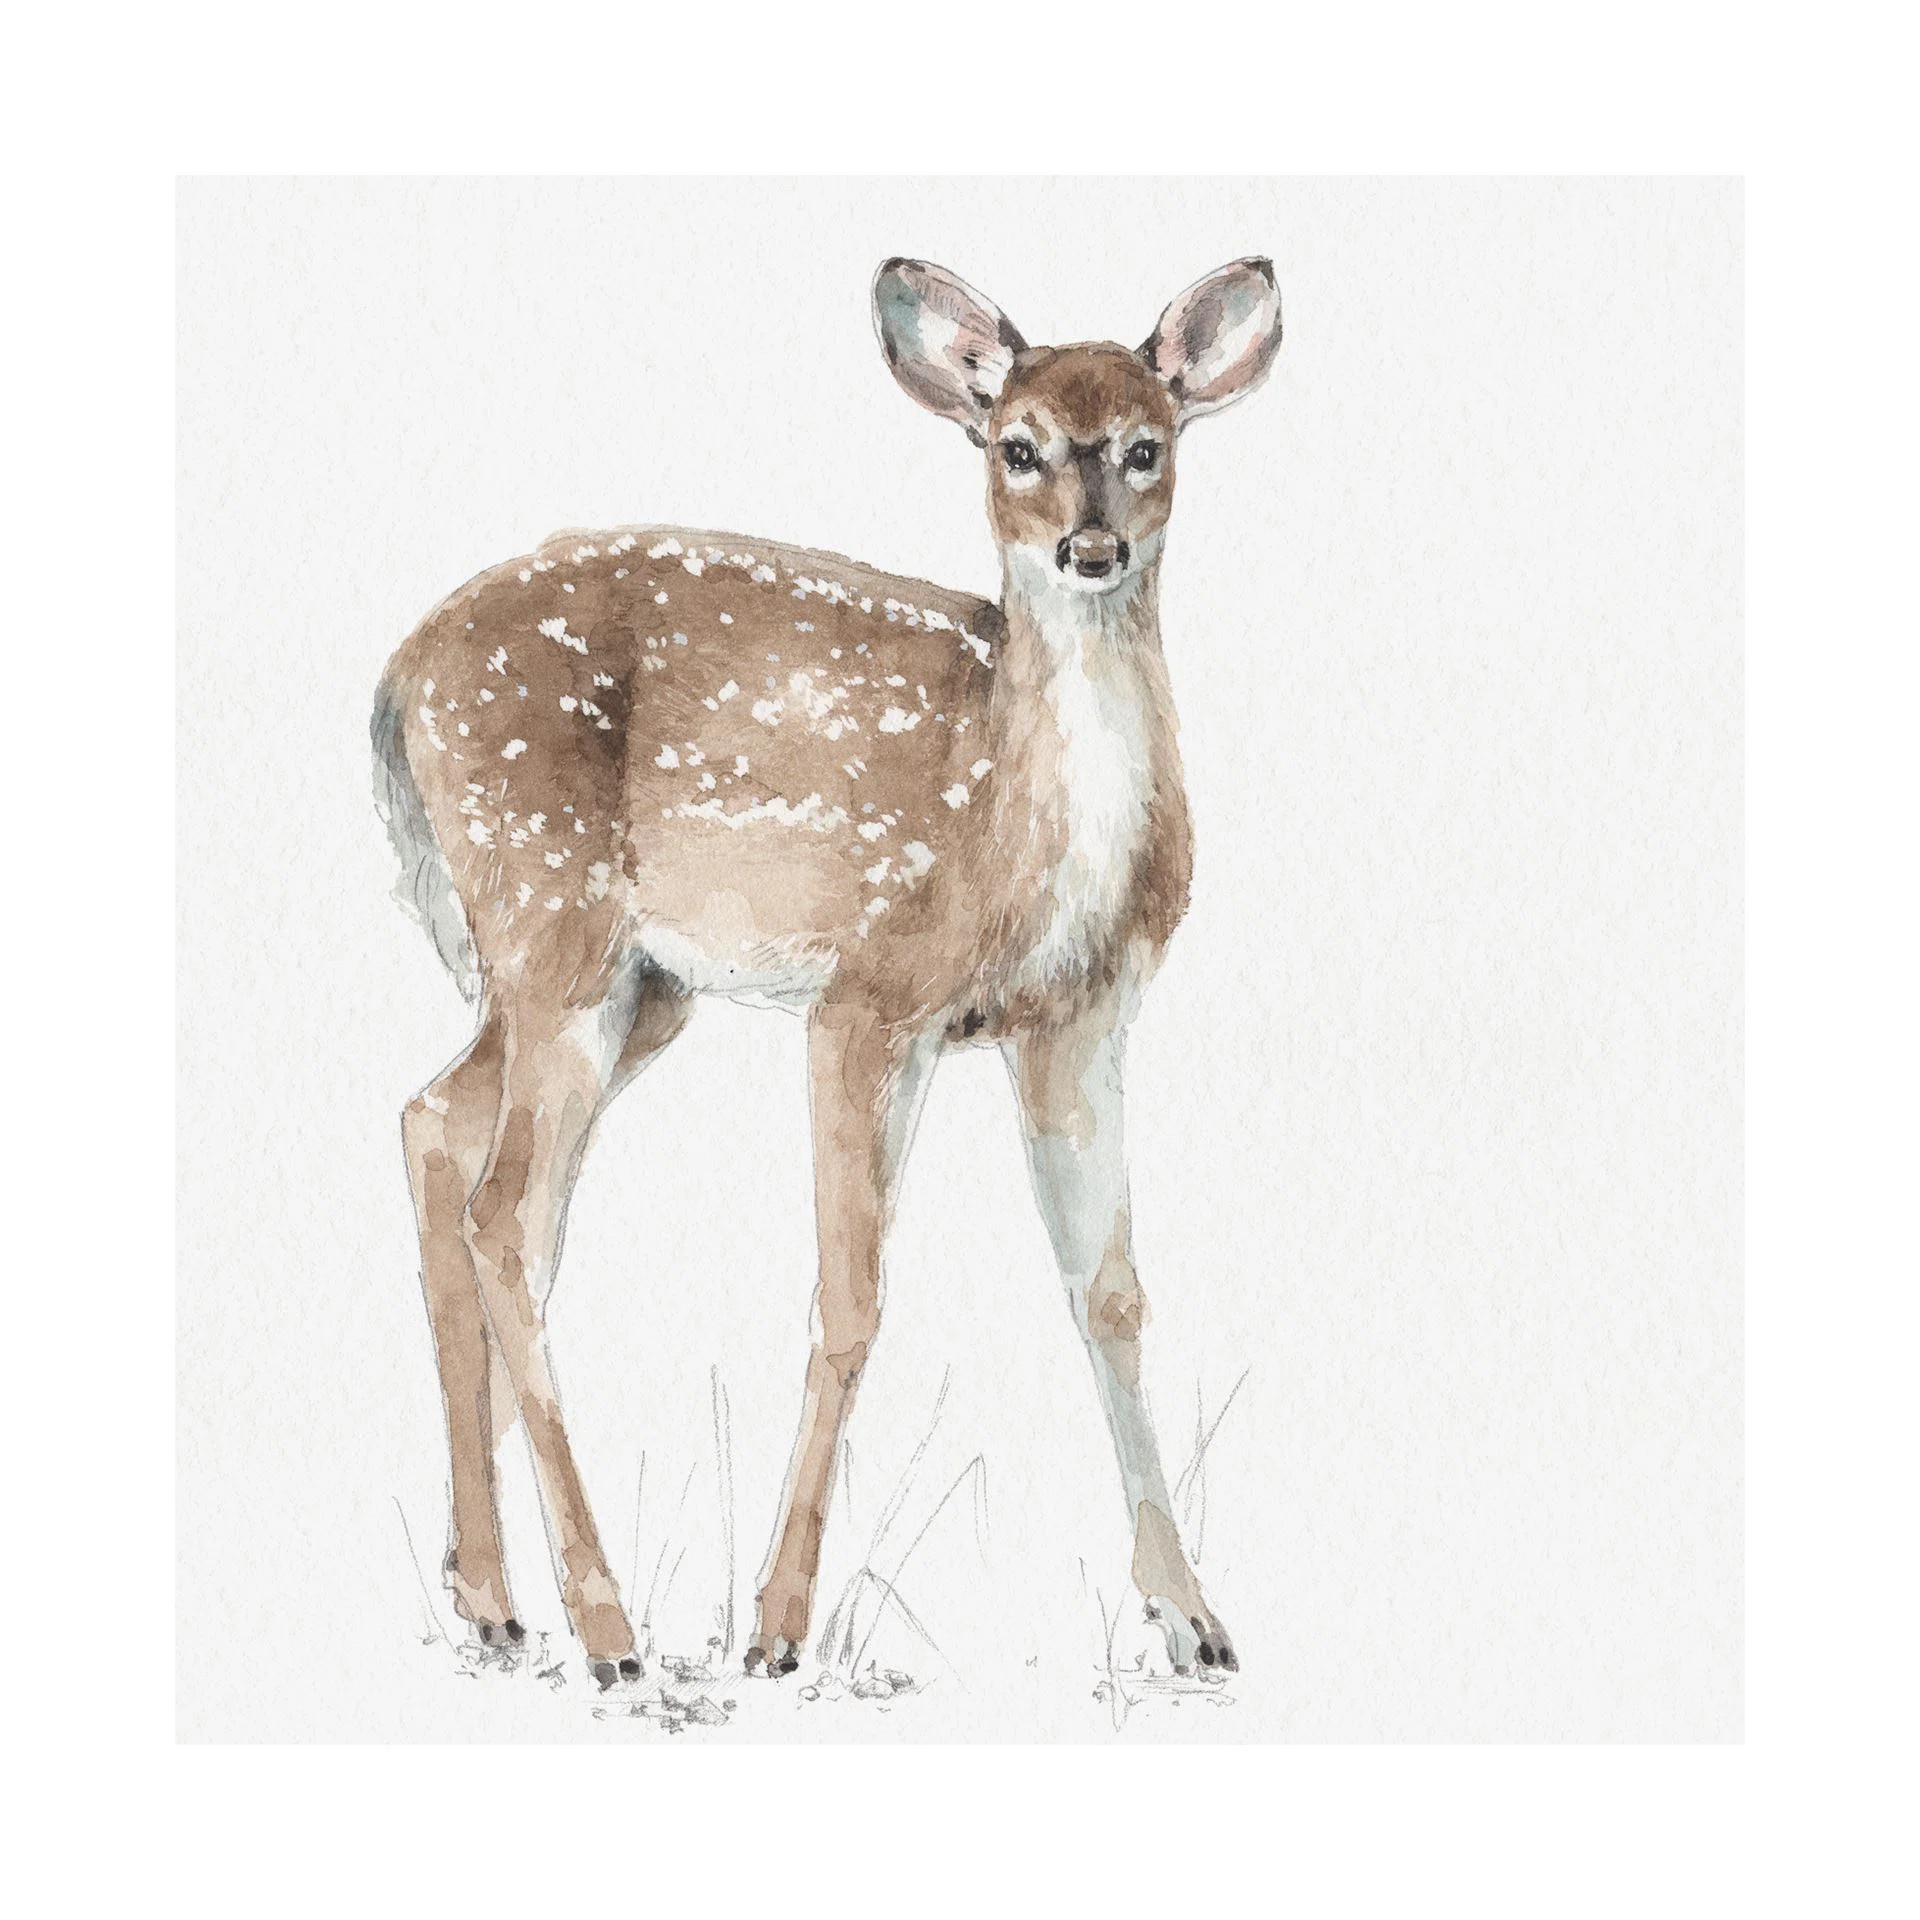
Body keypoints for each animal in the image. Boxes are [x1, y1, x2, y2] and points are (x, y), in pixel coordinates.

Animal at [373, 256, 1283, 1687]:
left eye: (1149, 445)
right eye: (1016, 446)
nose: (1091, 551)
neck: (1022, 826)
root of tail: (396, 684)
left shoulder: (1077, 1019)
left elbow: (1112, 1294)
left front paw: (1195, 1620)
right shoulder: (869, 995)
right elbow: (850, 1300)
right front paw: (778, 1630)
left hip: (627, 989)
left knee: (437, 1130)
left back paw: (491, 1598)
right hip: (549, 924)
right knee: (507, 1215)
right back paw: (608, 1626)